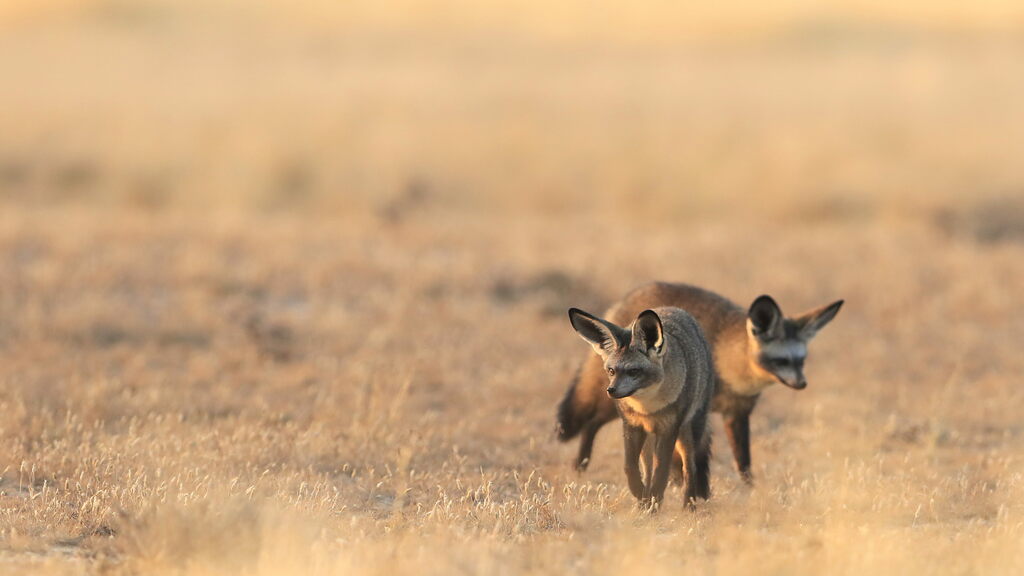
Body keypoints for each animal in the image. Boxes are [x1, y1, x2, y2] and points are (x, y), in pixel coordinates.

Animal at [558, 282, 843, 483]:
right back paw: (580, 466)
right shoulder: (695, 412)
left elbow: (743, 462)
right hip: (619, 400)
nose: (802, 384)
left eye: (801, 360)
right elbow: (688, 455)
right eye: (782, 361)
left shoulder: (737, 413)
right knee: (591, 422)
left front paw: (749, 490)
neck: (729, 362)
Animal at [568, 306, 715, 509]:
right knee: (648, 469)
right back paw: (645, 502)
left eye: (634, 371)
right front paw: (641, 495)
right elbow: (630, 467)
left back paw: (689, 505)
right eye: (611, 371)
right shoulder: (632, 425)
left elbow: (662, 472)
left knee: (689, 467)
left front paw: (655, 500)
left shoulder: (669, 429)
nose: (611, 390)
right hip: (649, 441)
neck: (648, 408)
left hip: (687, 433)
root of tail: (674, 309)